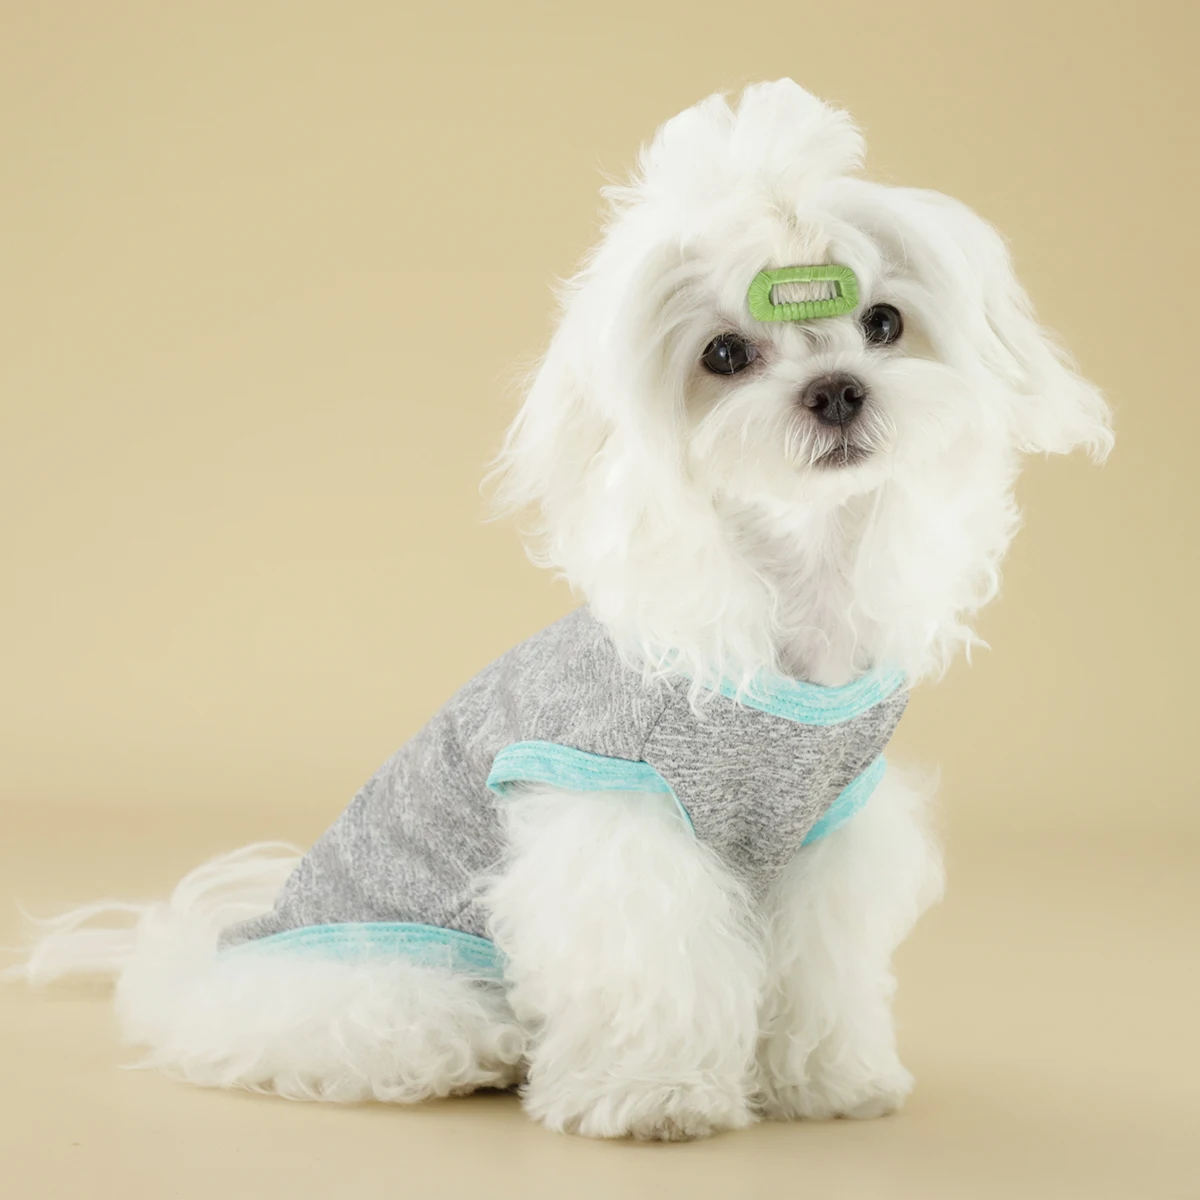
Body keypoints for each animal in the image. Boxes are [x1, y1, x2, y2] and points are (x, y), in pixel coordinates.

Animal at [10, 79, 1111, 1141]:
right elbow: (649, 969)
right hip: (396, 982)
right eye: (723, 355)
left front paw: (829, 1081)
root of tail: (198, 970)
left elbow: (819, 974)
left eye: (883, 322)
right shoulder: (618, 820)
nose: (837, 390)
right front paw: (654, 1096)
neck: (788, 611)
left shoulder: (825, 836)